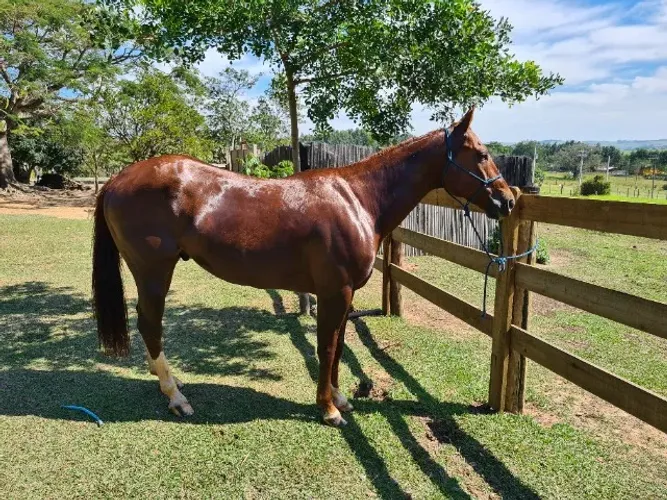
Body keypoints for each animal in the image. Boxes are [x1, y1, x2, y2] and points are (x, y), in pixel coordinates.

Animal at [91, 108, 515, 427]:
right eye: (480, 153)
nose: (508, 200)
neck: (358, 200)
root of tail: (116, 179)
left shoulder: (345, 294)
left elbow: (340, 345)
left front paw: (340, 398)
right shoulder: (334, 292)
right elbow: (326, 346)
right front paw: (327, 409)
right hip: (153, 272)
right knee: (150, 324)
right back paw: (175, 396)